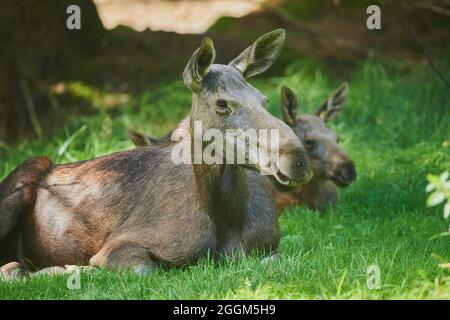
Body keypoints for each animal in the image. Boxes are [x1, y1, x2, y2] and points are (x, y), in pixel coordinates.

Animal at [0, 30, 312, 280]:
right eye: (222, 103)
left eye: (264, 99)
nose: (298, 159)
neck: (224, 216)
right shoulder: (118, 245)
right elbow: (143, 268)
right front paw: (65, 269)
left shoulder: (271, 247)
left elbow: (274, 261)